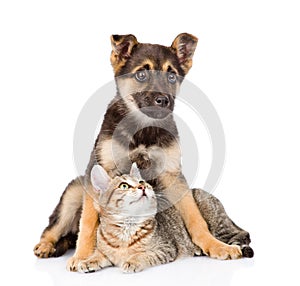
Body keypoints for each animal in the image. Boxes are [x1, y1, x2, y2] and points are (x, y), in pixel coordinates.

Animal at [77, 162, 253, 274]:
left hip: (215, 220)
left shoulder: (165, 248)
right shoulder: (104, 249)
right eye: (124, 185)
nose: (142, 186)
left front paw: (133, 260)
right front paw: (87, 261)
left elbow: (144, 254)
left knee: (237, 235)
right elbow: (99, 255)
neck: (127, 229)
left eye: (141, 181)